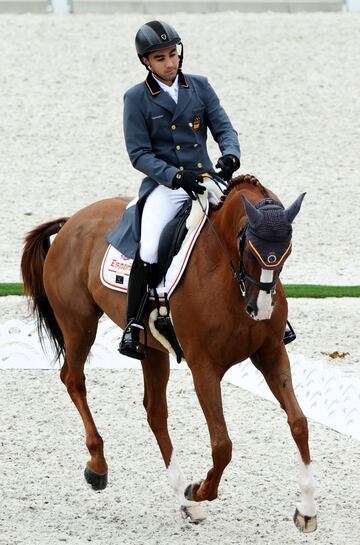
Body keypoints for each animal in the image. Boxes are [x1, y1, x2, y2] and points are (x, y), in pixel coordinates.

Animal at [21, 175, 316, 532]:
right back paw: (99, 466)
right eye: (250, 251)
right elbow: (223, 445)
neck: (226, 275)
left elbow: (299, 423)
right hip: (79, 325)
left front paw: (307, 510)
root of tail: (71, 221)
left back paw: (184, 501)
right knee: (73, 380)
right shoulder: (204, 367)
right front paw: (200, 489)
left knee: (155, 413)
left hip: (151, 349)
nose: (259, 310)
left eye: (287, 251)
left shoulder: (271, 354)